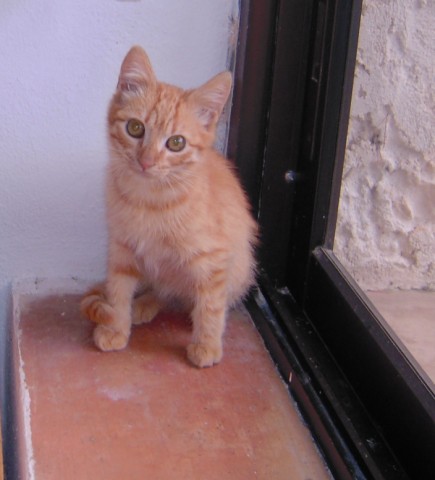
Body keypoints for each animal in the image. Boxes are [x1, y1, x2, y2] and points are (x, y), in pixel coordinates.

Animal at [81, 46, 258, 368]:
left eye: (176, 143)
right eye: (135, 128)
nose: (146, 161)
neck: (150, 199)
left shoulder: (215, 259)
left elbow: (210, 305)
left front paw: (207, 344)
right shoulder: (122, 247)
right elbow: (118, 289)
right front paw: (116, 327)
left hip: (239, 270)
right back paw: (145, 303)